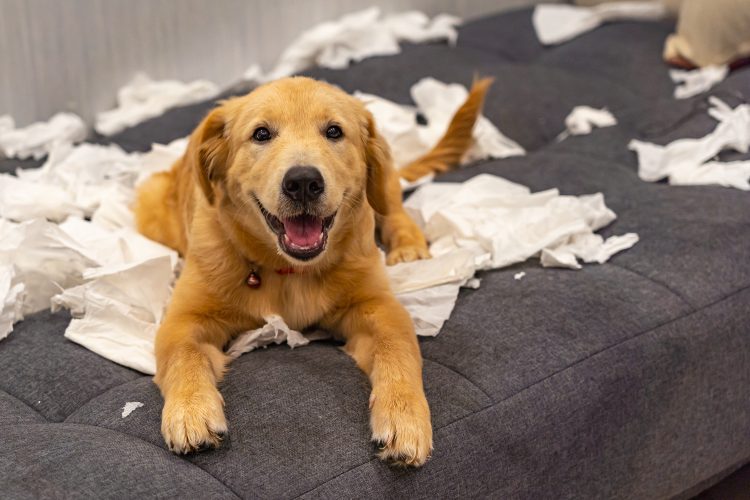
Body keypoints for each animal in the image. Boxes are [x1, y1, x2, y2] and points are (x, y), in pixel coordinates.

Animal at [136, 76, 494, 466]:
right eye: (261, 134)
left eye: (334, 131)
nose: (304, 182)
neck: (290, 272)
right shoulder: (183, 318)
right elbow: (183, 355)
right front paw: (190, 411)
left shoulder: (379, 306)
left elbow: (398, 349)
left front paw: (404, 416)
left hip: (383, 184)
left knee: (394, 209)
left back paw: (409, 247)